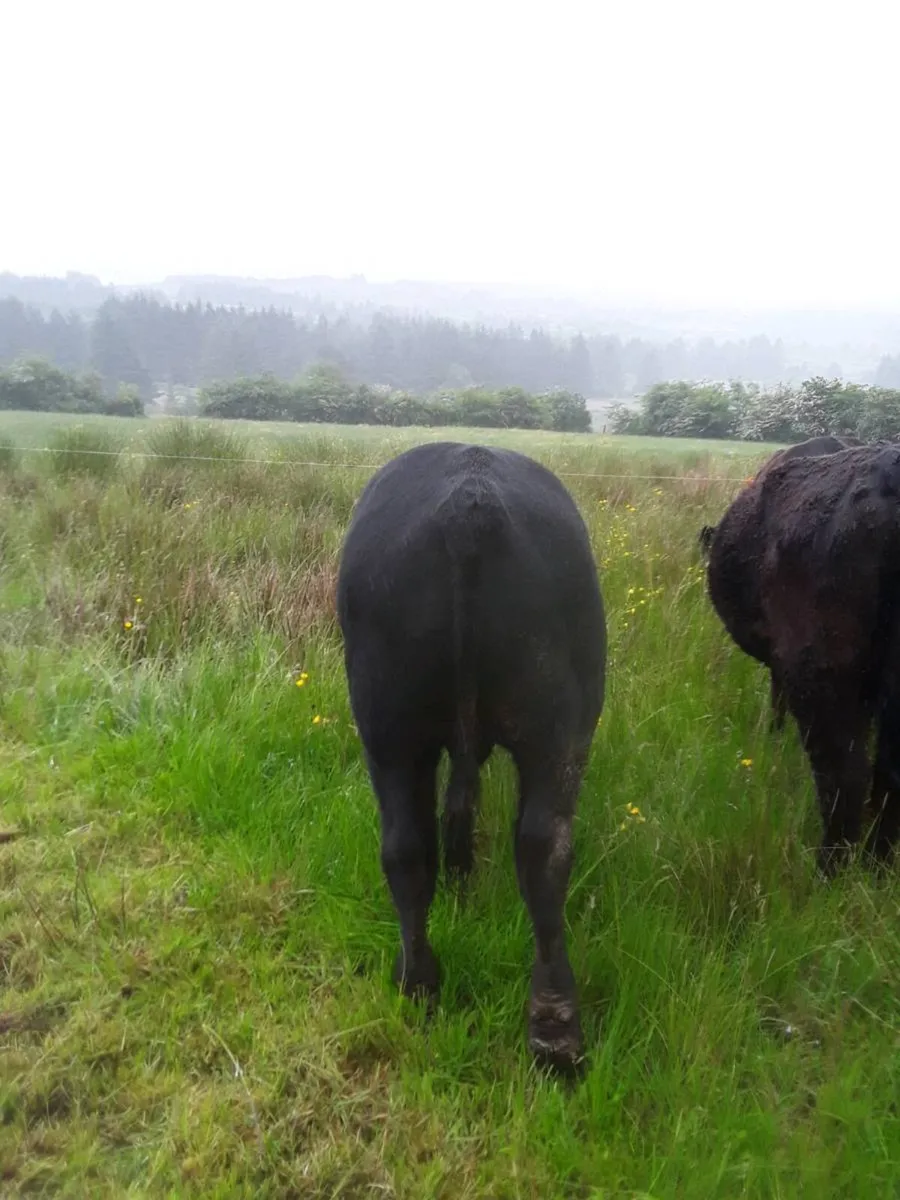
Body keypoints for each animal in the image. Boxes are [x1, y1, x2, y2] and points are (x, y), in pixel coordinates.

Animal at [336, 441, 607, 1075]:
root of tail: (469, 495)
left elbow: (456, 808)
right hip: (563, 726)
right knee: (544, 847)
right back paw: (552, 1028)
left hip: (388, 726)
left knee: (407, 846)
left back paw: (421, 988)